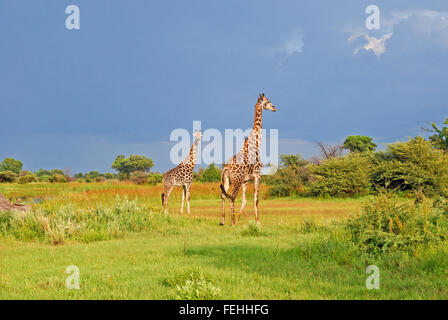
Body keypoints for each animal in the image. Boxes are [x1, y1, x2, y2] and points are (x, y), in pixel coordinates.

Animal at [220, 94, 276, 226]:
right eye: (268, 102)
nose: (275, 108)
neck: (256, 144)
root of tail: (226, 168)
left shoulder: (245, 181)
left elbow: (245, 201)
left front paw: (240, 219)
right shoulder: (258, 175)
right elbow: (256, 199)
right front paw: (257, 221)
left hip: (227, 181)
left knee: (224, 195)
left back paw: (223, 221)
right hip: (236, 181)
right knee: (232, 197)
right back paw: (232, 222)